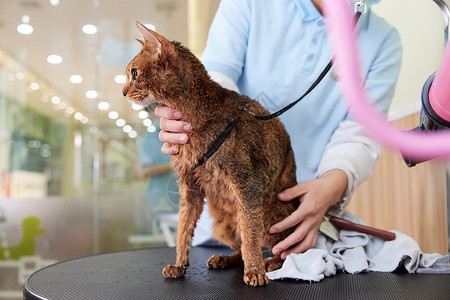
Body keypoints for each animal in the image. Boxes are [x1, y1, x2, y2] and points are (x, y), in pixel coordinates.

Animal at [123, 22, 298, 288]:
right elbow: (183, 228)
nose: (123, 92)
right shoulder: (189, 186)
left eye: (134, 73)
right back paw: (224, 259)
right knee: (240, 243)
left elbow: (251, 235)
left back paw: (269, 263)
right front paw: (179, 265)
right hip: (222, 223)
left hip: (269, 214)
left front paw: (255, 271)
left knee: (286, 249)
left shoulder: (248, 185)